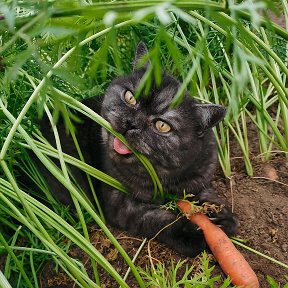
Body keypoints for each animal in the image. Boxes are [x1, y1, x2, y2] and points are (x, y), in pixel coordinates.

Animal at [39, 41, 237, 255]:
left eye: (162, 125)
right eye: (130, 98)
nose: (130, 123)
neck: (163, 179)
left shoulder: (200, 177)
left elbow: (208, 195)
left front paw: (222, 218)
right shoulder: (120, 203)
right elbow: (159, 220)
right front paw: (190, 233)